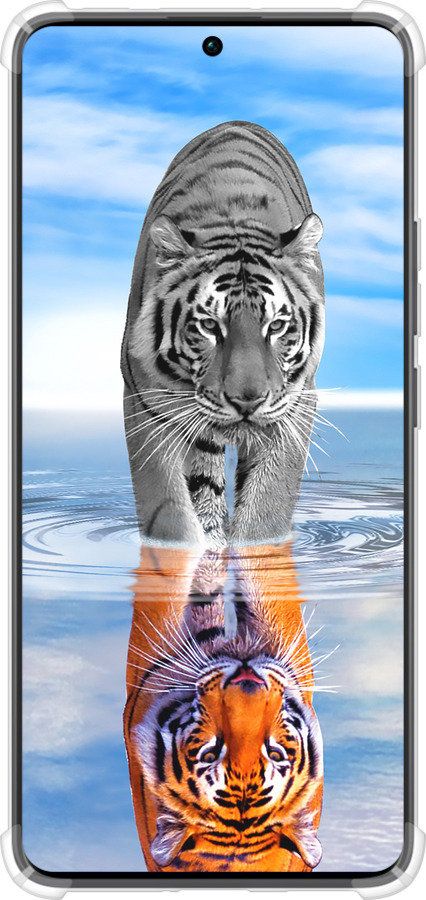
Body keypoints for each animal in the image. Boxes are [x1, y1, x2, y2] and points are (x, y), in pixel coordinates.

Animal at [120, 120, 325, 549]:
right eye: (210, 326)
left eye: (276, 326)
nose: (247, 401)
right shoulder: (145, 401)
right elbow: (169, 513)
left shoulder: (296, 404)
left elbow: (266, 509)